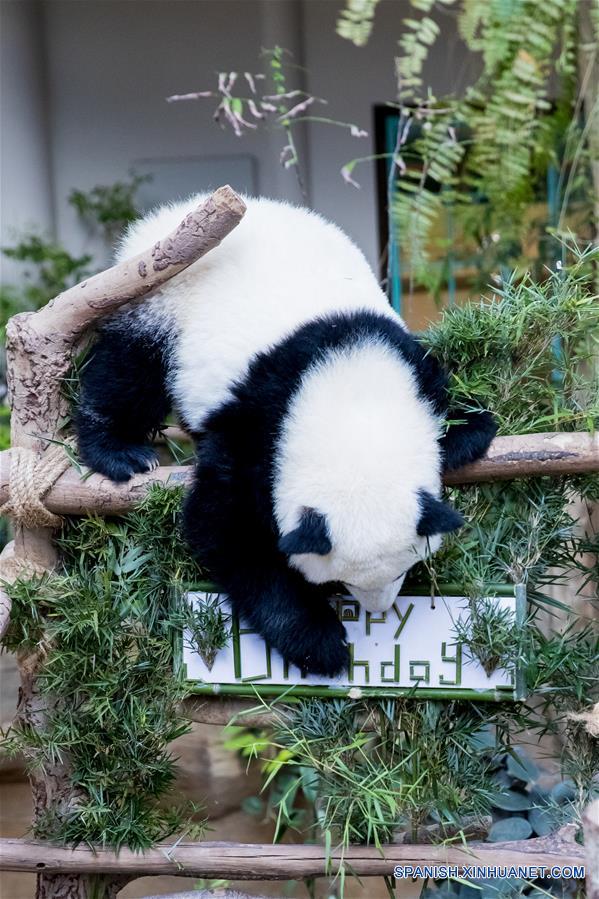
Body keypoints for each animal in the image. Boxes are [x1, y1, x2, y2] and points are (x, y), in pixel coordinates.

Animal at [76, 195, 496, 676]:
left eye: (402, 569)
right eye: (340, 580)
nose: (377, 610)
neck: (351, 401)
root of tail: (172, 213)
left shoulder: (392, 347)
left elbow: (438, 389)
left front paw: (469, 430)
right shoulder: (256, 418)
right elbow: (224, 531)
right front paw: (319, 642)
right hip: (157, 299)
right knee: (126, 373)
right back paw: (119, 452)